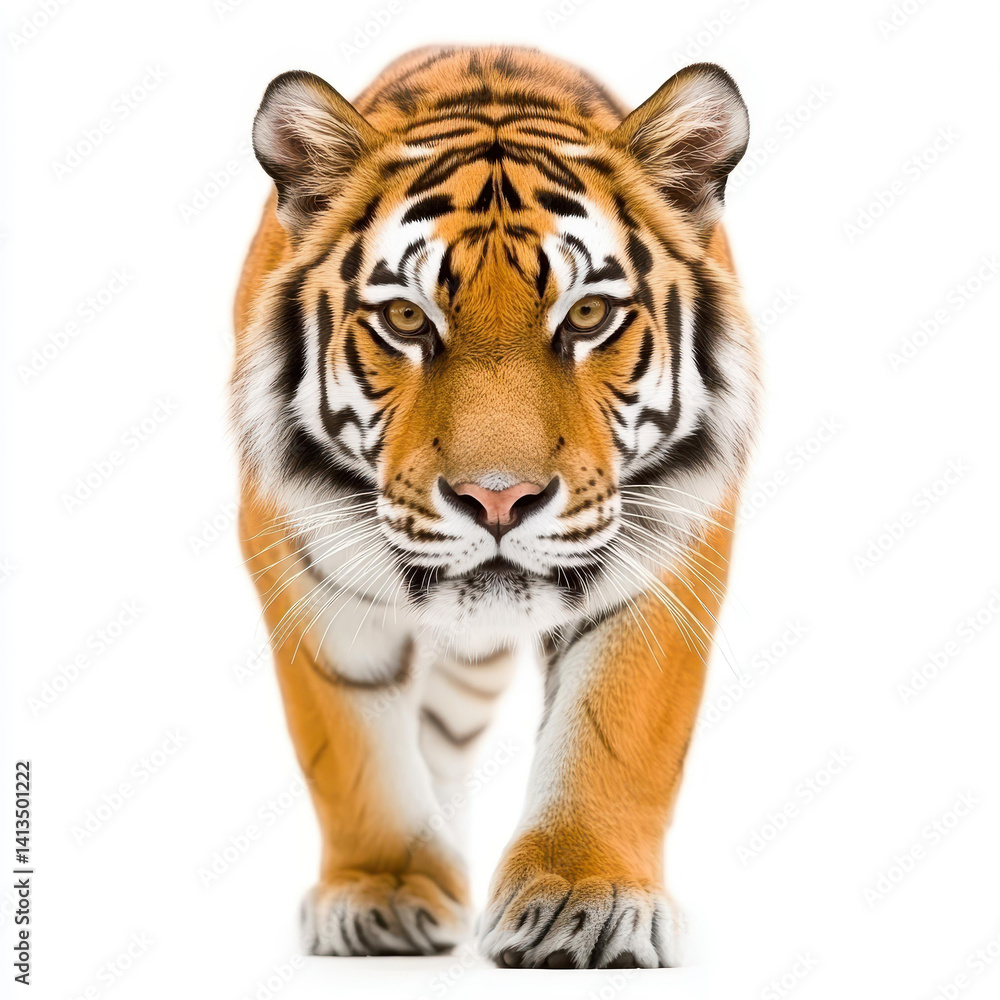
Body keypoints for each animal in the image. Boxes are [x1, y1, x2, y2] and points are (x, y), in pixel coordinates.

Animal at [231, 45, 761, 969]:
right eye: (407, 319)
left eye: (589, 314)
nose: (498, 498)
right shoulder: (297, 552)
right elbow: (351, 745)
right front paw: (385, 890)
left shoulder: (673, 540)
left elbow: (616, 730)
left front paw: (584, 899)